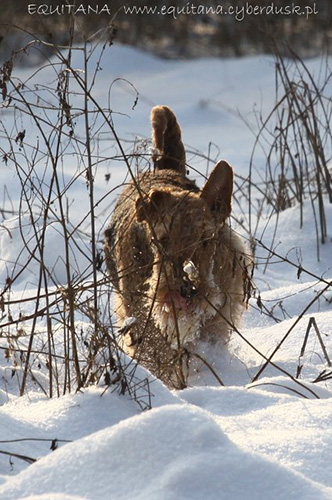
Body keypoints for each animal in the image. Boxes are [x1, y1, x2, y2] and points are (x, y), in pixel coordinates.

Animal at [104, 104, 252, 386]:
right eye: (161, 240)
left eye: (206, 239)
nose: (186, 291)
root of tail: (166, 168)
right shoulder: (140, 317)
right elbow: (157, 352)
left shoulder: (219, 312)